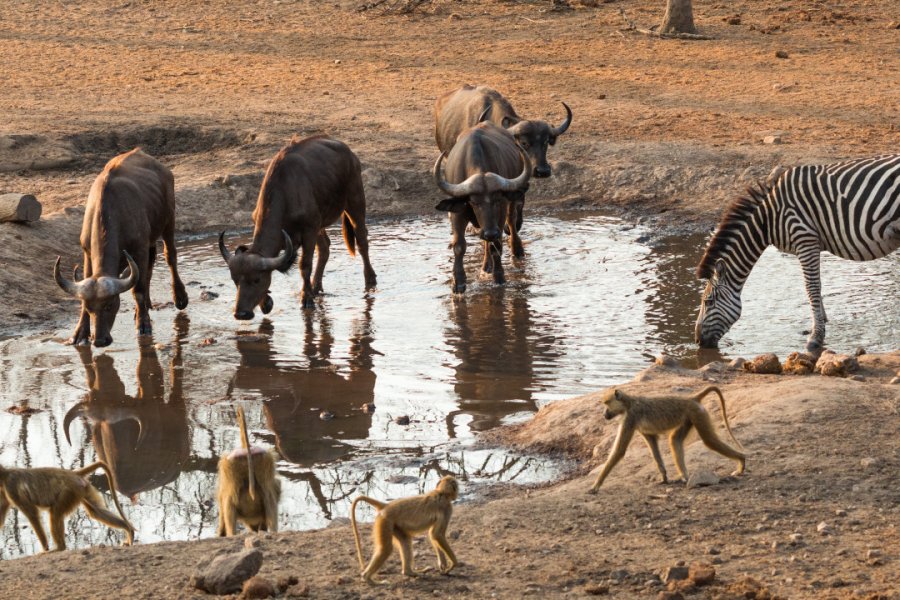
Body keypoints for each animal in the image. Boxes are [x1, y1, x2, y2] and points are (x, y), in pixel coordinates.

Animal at [54, 149, 188, 346]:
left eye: (110, 304)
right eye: (89, 307)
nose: (99, 340)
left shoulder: (139, 249)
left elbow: (138, 290)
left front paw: (143, 325)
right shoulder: (87, 251)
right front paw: (80, 333)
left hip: (169, 220)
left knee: (169, 255)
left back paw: (178, 297)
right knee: (149, 266)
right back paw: (146, 306)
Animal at [220, 134, 378, 316]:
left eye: (257, 279)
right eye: (235, 280)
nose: (241, 314)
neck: (285, 193)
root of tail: (349, 152)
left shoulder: (309, 231)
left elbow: (305, 265)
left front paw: (306, 298)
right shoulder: (311, 227)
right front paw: (267, 302)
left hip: (355, 201)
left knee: (362, 240)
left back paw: (370, 280)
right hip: (321, 223)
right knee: (325, 248)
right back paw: (316, 287)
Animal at [434, 121, 532, 292]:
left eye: (497, 199)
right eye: (474, 202)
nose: (491, 232)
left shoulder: (499, 213)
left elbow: (496, 245)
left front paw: (499, 277)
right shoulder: (458, 213)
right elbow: (459, 246)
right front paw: (458, 282)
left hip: (511, 201)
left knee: (511, 221)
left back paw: (515, 250)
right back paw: (486, 266)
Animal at [696, 154, 900, 352]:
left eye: (708, 302)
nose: (697, 341)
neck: (768, 220)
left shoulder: (805, 238)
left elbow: (811, 287)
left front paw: (816, 338)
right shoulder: (811, 243)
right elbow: (818, 286)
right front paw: (821, 323)